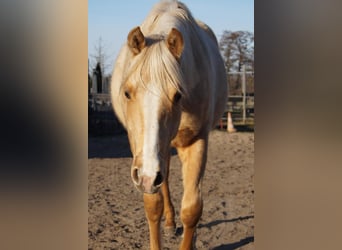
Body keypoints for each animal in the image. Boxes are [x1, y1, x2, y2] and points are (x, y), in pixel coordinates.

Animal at [111, 0, 227, 249]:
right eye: (127, 93)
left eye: (178, 95)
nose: (147, 177)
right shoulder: (139, 150)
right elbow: (153, 206)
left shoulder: (196, 141)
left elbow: (192, 209)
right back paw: (169, 222)